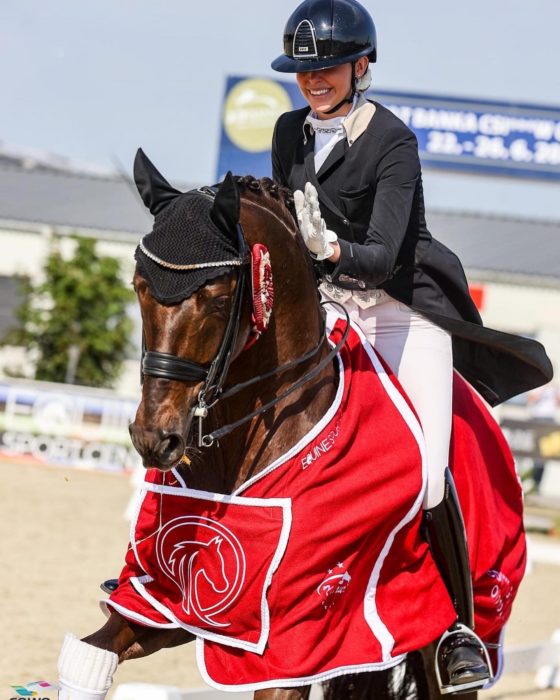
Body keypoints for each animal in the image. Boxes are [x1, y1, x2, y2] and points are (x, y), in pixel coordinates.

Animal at [71, 152, 524, 700]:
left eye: (217, 297)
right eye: (139, 287)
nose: (156, 439)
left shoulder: (298, 642)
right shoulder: (172, 604)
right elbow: (90, 655)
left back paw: (461, 651)